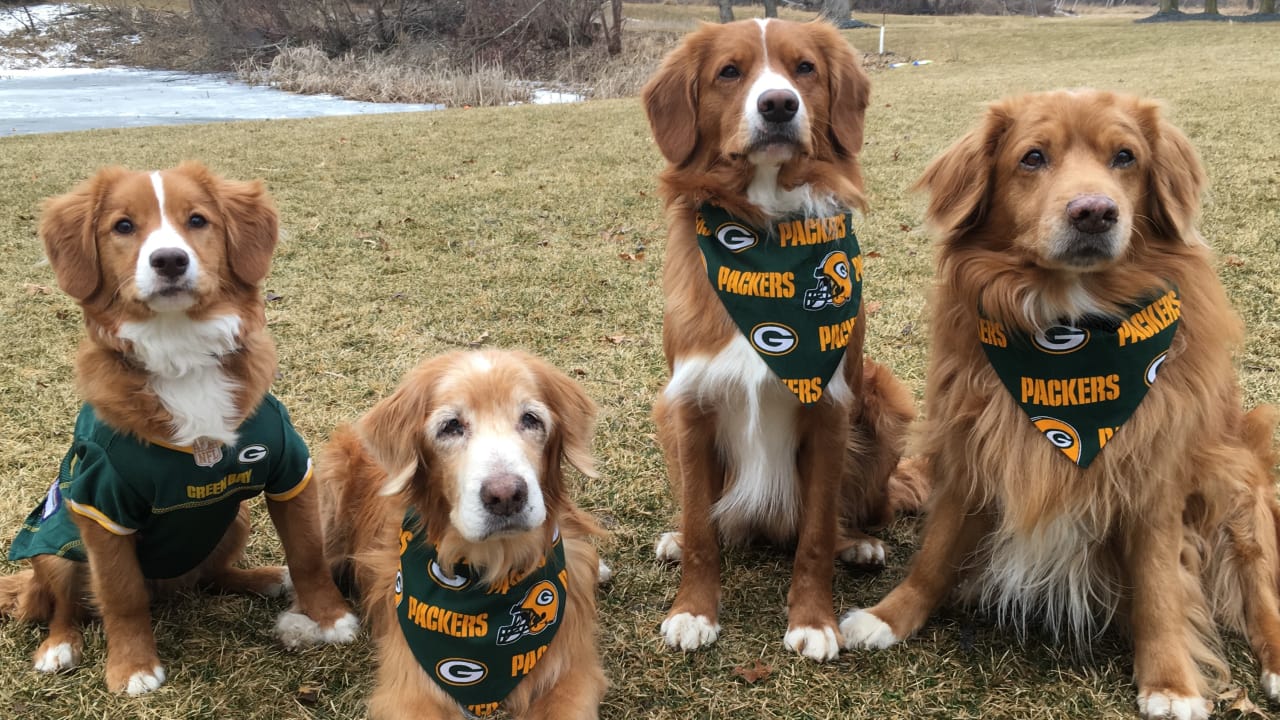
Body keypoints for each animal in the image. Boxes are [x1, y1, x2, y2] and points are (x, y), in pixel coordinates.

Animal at [3, 161, 360, 691]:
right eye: (123, 226)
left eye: (196, 220)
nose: (169, 260)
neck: (182, 354)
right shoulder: (101, 507)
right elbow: (121, 596)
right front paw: (132, 668)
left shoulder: (290, 472)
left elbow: (309, 554)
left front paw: (331, 619)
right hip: (56, 537)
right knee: (65, 603)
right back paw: (59, 647)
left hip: (235, 517)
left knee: (210, 577)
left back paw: (263, 578)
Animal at [645, 16, 926, 661]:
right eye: (729, 72)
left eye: (805, 69)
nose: (778, 104)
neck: (767, 234)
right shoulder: (689, 404)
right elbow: (701, 527)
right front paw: (693, 611)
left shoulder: (830, 408)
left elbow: (816, 534)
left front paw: (813, 622)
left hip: (885, 399)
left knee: (848, 517)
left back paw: (859, 543)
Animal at [839, 89, 1280, 717]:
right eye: (1032, 158)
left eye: (1125, 157)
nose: (1094, 211)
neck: (1068, 331)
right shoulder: (972, 451)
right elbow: (936, 551)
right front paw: (888, 618)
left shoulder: (1154, 479)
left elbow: (1159, 586)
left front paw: (1170, 683)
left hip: (1236, 476)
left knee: (1260, 590)